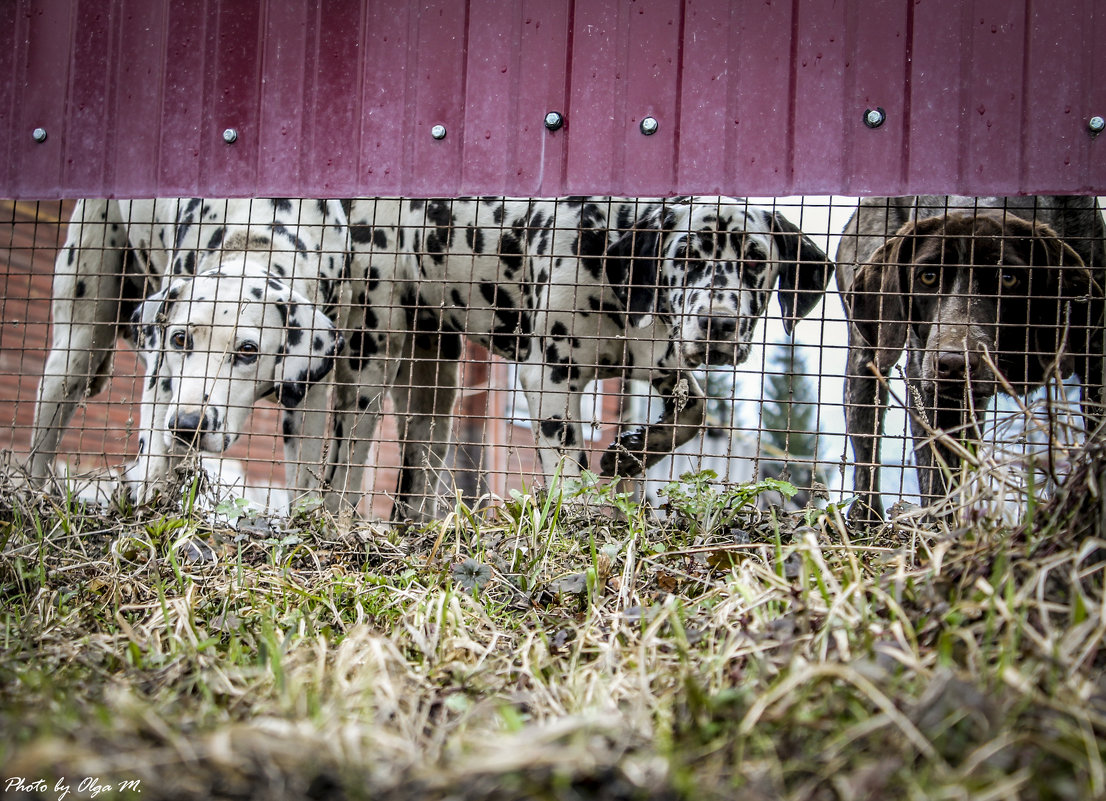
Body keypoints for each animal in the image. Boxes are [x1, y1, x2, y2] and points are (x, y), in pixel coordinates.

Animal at [28, 196, 345, 504]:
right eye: (180, 339)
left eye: (247, 349)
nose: (187, 425)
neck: (258, 231)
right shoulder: (162, 381)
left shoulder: (309, 397)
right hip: (73, 351)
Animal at [331, 196, 831, 515]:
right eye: (686, 257)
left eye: (755, 259)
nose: (718, 323)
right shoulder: (550, 378)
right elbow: (569, 468)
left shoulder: (661, 361)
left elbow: (697, 411)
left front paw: (630, 453)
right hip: (369, 368)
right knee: (343, 469)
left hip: (435, 390)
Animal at [840, 198, 1101, 526]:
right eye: (928, 277)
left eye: (1008, 279)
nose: (953, 363)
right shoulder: (931, 393)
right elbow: (940, 478)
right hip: (865, 364)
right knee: (866, 449)